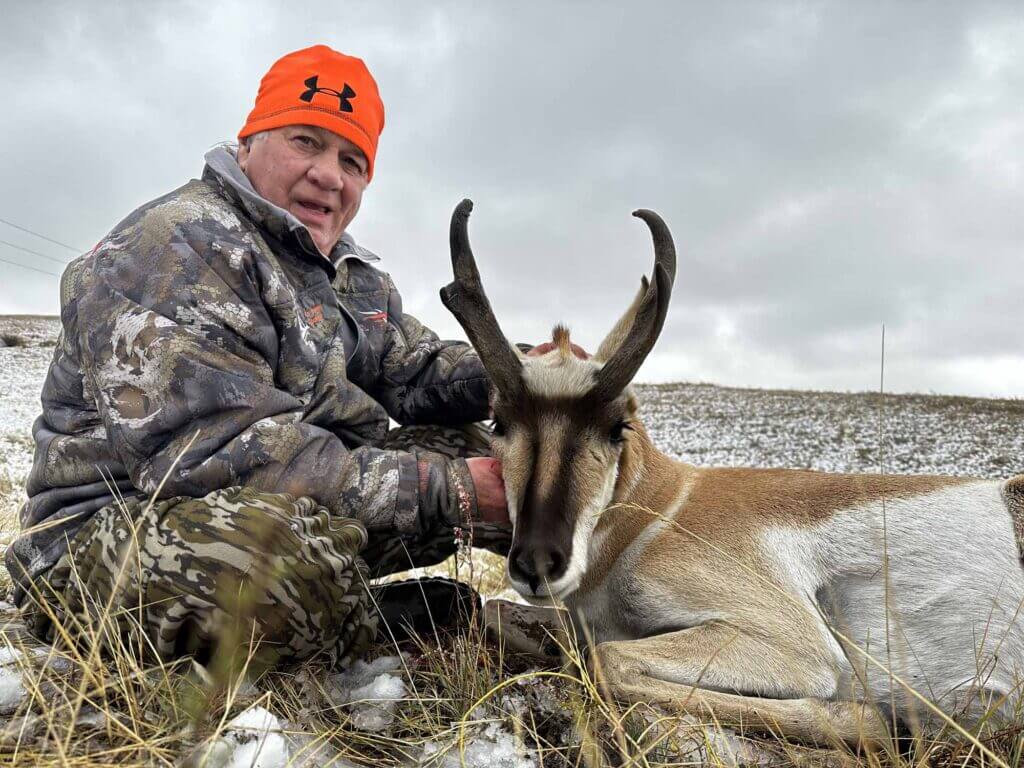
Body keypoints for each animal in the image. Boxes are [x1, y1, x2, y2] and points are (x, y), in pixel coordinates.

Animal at [440, 199, 1024, 746]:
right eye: (499, 420)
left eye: (617, 426)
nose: (538, 562)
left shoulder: (799, 646)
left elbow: (609, 659)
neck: (663, 504)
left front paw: (875, 720)